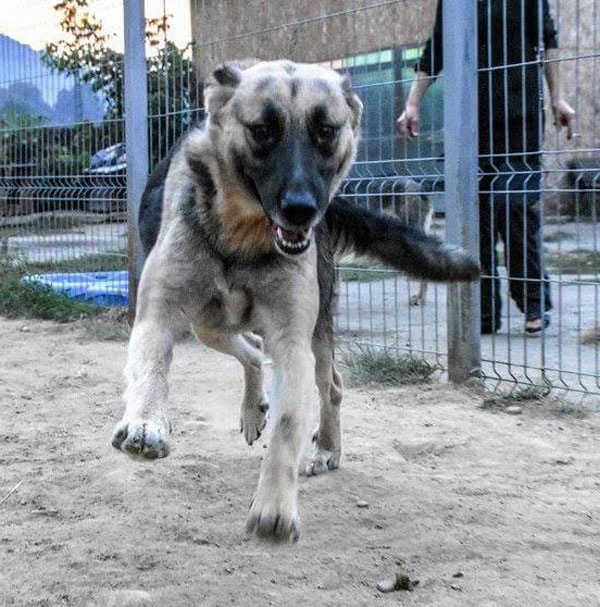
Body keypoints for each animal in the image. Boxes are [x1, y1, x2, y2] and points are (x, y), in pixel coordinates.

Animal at [111, 59, 478, 544]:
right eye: (262, 130)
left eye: (326, 130)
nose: (302, 209)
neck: (243, 237)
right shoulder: (157, 317)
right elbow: (151, 371)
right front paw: (147, 423)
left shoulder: (292, 342)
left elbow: (288, 423)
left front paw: (275, 507)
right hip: (208, 324)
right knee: (251, 351)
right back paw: (253, 409)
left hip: (314, 336)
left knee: (329, 386)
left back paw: (326, 449)